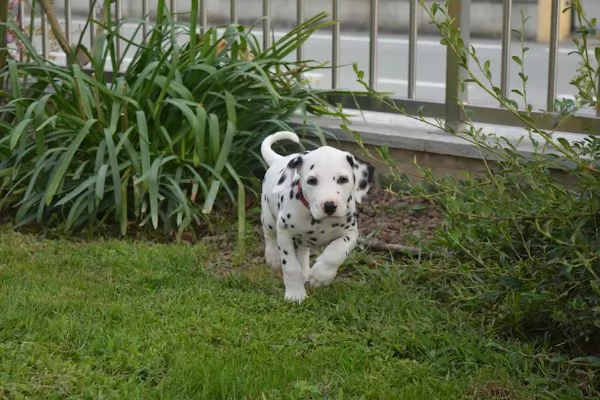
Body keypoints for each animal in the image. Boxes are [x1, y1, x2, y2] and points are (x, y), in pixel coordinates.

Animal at [258, 130, 372, 302]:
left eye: (343, 179)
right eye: (312, 180)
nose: (329, 206)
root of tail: (280, 159)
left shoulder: (350, 233)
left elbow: (335, 253)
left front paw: (321, 276)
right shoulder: (284, 233)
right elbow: (291, 267)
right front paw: (295, 295)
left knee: (303, 252)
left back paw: (306, 272)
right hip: (268, 217)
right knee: (269, 234)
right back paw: (273, 257)